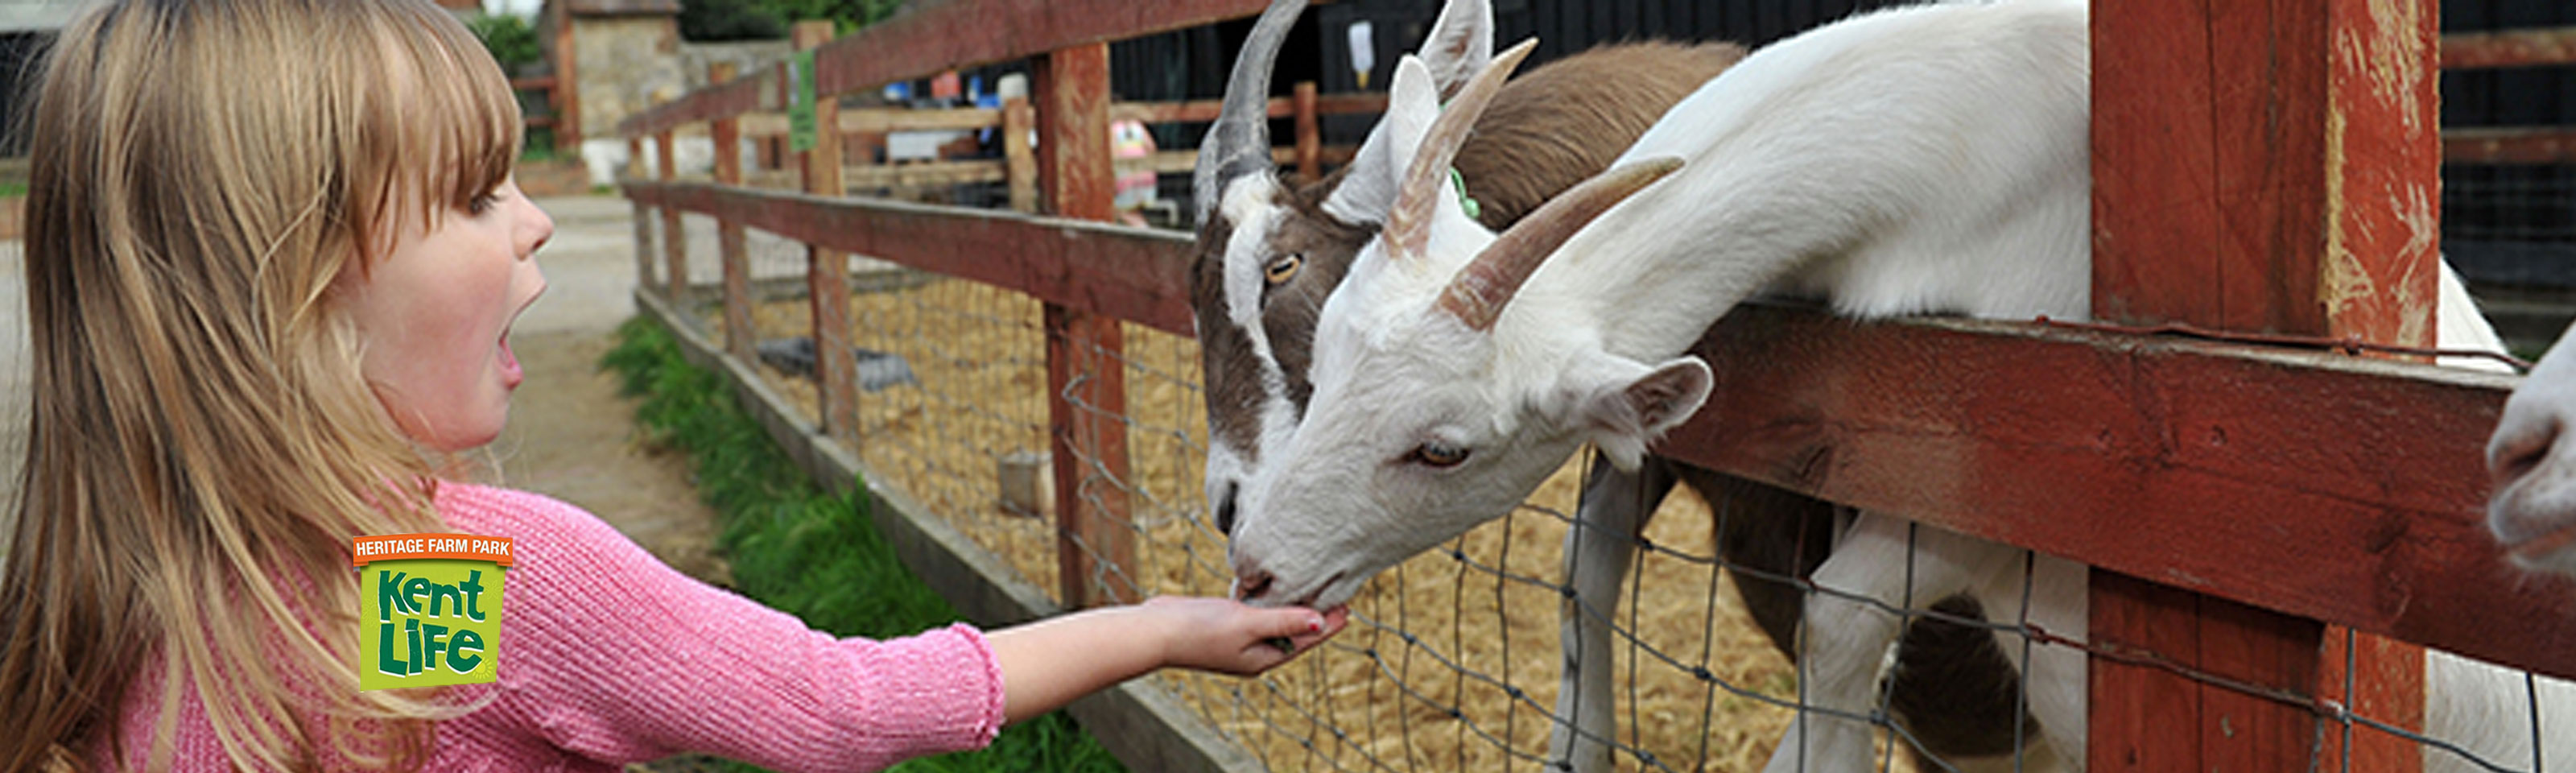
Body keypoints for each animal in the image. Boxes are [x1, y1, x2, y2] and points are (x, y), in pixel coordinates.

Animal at [1231, 2, 2576, 767]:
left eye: (1442, 448)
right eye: (1324, 352)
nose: (1253, 571)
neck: (1993, 126)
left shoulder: (2011, 479)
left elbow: (1841, 615)